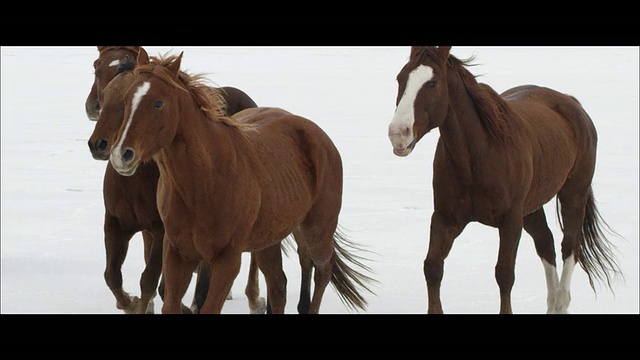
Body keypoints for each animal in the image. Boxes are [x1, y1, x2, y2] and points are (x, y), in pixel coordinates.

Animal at [85, 47, 264, 312]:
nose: (100, 145)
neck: (134, 182)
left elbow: (151, 282)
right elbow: (113, 277)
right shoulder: (116, 223)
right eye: (97, 69)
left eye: (156, 104)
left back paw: (253, 299)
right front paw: (131, 303)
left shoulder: (163, 231)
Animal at [107, 49, 372, 314]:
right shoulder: (177, 253)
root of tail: (316, 134)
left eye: (158, 103)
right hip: (268, 242)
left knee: (321, 272)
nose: (121, 154)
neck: (203, 181)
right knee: (279, 286)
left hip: (318, 230)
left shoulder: (227, 260)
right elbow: (170, 303)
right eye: (126, 99)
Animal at [388, 46, 624, 314]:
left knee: (570, 246)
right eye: (400, 78)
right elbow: (433, 267)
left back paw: (561, 301)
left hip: (573, 194)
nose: (398, 134)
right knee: (546, 243)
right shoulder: (445, 218)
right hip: (531, 208)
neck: (478, 157)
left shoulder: (510, 222)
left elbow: (504, 274)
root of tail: (571, 102)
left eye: (433, 83)